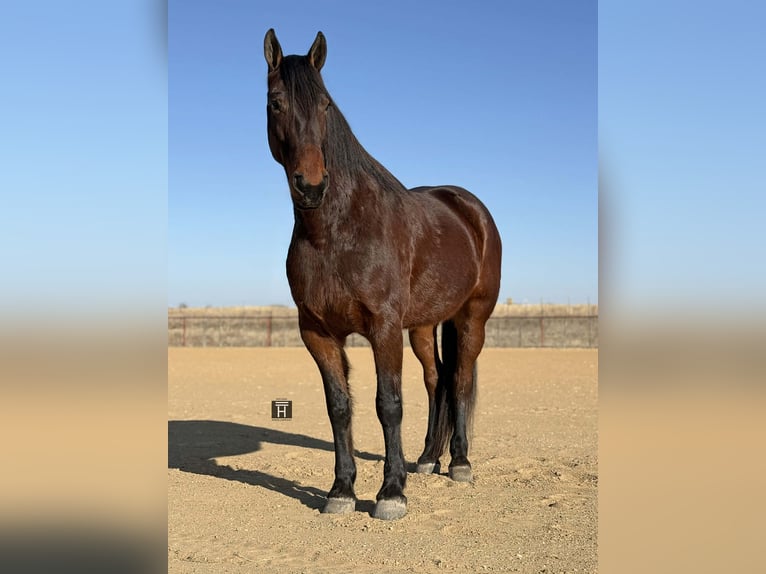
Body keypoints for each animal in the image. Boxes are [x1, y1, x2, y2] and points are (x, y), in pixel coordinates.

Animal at [263, 29, 502, 520]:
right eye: (275, 103)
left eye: (326, 105)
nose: (311, 185)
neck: (336, 232)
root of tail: (472, 209)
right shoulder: (316, 332)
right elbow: (340, 407)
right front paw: (341, 490)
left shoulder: (384, 328)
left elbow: (388, 404)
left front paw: (391, 493)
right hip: (425, 326)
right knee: (437, 379)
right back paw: (428, 457)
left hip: (472, 317)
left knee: (461, 378)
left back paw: (460, 462)